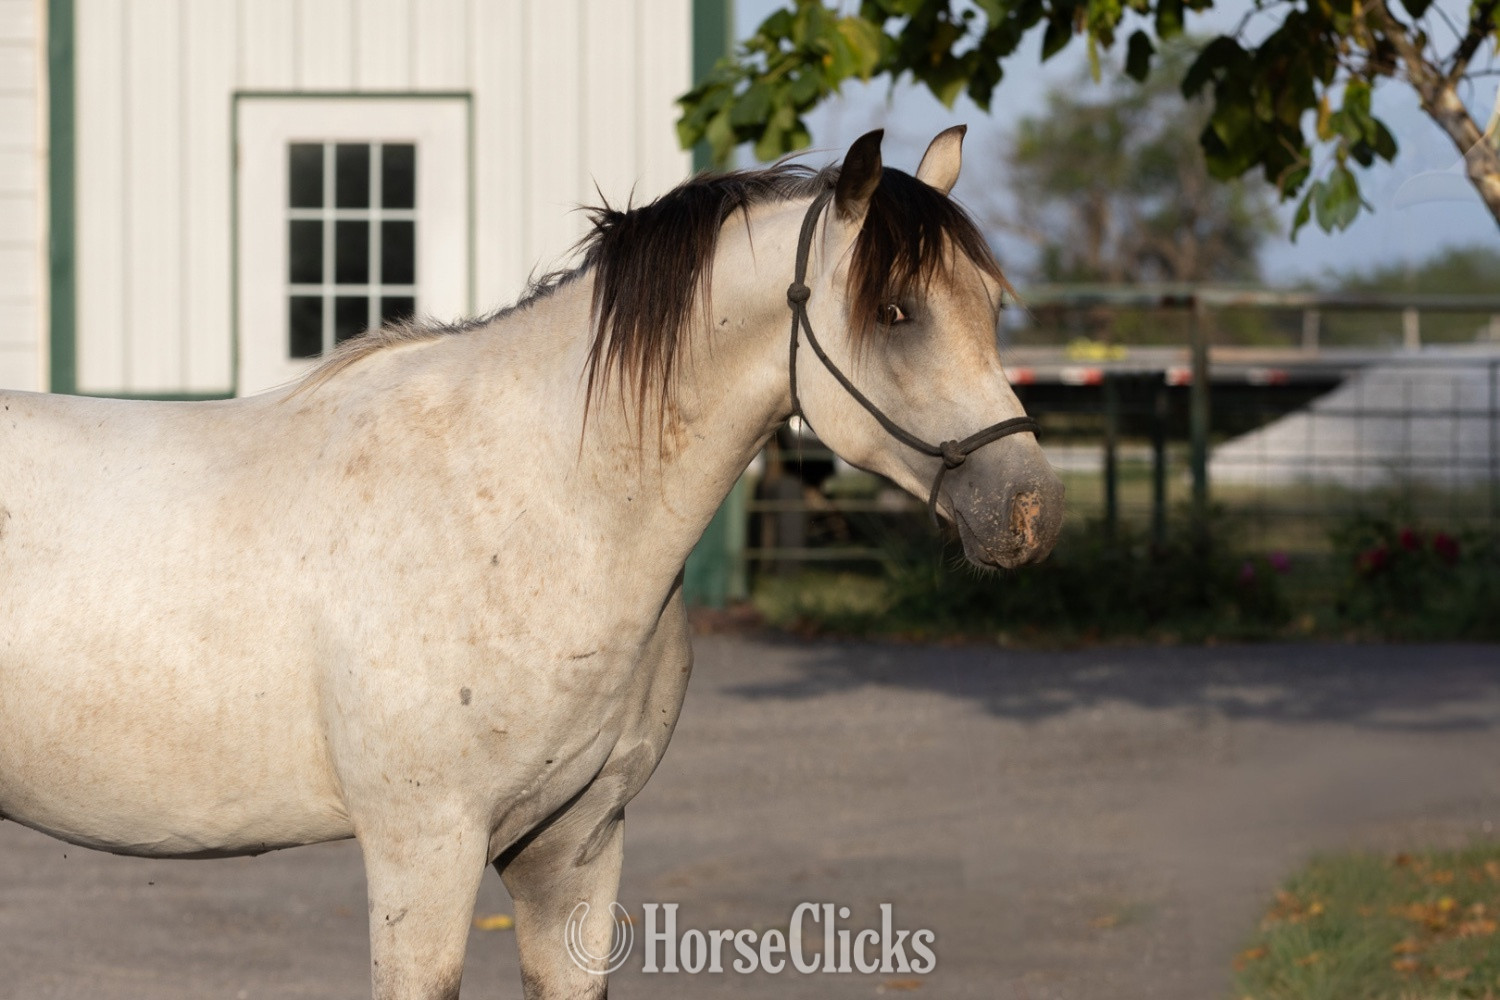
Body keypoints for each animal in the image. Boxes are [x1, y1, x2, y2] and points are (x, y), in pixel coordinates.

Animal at [0, 127, 1063, 999]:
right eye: (896, 312)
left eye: (990, 306)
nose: (1027, 509)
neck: (540, 503)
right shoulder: (424, 851)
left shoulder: (576, 847)